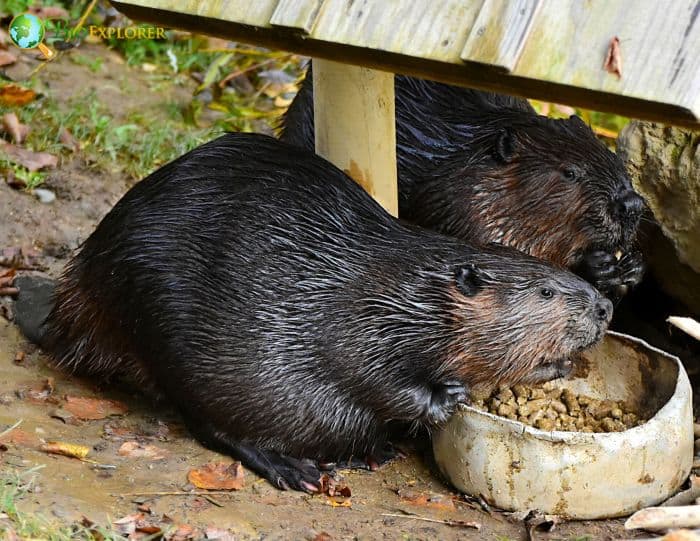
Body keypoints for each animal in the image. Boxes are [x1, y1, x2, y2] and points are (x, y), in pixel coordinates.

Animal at [42, 133, 612, 492]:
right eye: (545, 292)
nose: (605, 306)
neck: (410, 290)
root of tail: (73, 299)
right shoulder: (362, 319)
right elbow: (369, 373)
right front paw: (446, 396)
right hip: (170, 334)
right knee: (214, 426)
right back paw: (298, 470)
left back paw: (371, 453)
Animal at [278, 66, 644, 300]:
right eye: (570, 173)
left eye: (614, 158)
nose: (632, 205)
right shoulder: (459, 208)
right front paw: (600, 265)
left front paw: (629, 267)